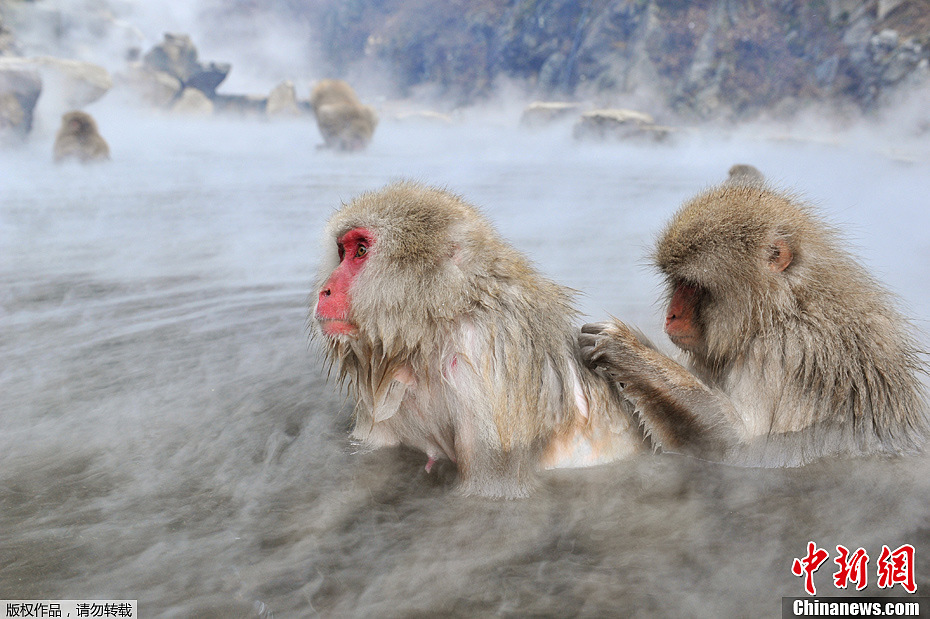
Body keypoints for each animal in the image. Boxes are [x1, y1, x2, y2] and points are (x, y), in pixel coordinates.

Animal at [312, 180, 644, 498]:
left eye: (361, 250)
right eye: (342, 252)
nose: (324, 290)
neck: (436, 327)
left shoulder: (490, 364)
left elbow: (493, 489)